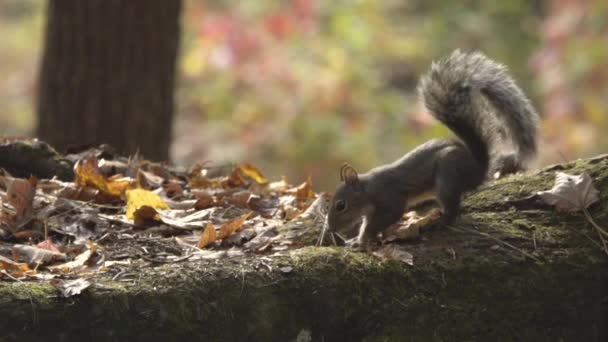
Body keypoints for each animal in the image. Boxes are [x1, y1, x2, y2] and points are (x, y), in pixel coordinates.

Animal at [326, 49, 540, 247]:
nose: (330, 228)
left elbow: (383, 219)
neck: (368, 190)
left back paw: (441, 221)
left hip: (447, 175)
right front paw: (360, 239)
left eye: (341, 205)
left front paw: (362, 240)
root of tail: (478, 169)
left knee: (453, 209)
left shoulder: (389, 199)